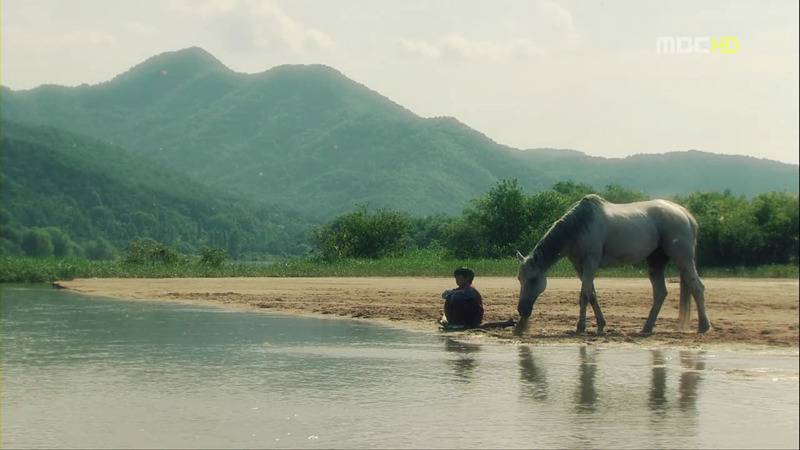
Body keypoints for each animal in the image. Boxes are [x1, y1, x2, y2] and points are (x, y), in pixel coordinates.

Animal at [516, 195, 708, 336]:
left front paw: (581, 327)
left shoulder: (590, 263)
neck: (579, 226)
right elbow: (592, 294)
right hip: (656, 262)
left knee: (697, 287)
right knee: (661, 293)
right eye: (520, 279)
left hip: (683, 259)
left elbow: (584, 295)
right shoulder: (580, 266)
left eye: (533, 279)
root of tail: (686, 214)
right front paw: (601, 325)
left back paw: (704, 326)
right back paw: (646, 328)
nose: (522, 310)